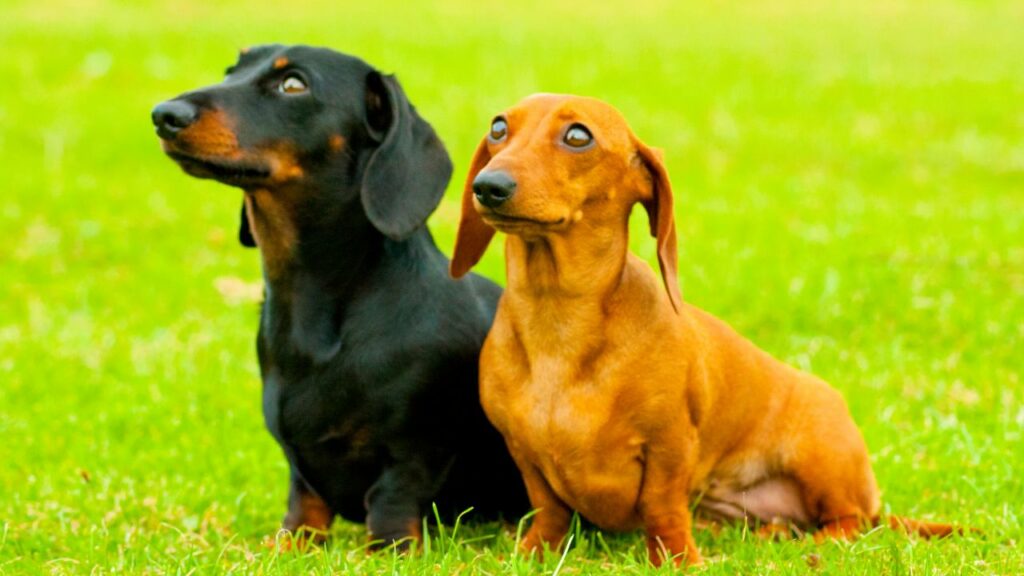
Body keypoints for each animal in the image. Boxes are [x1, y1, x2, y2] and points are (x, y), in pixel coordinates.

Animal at [151, 43, 528, 545]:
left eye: (293, 84)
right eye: (231, 71)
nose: (163, 115)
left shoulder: (414, 451)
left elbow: (391, 500)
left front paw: (386, 546)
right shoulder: (300, 465)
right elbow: (304, 504)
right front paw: (292, 541)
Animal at [448, 94, 958, 565]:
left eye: (578, 136)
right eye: (498, 128)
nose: (488, 186)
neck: (556, 320)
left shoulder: (670, 445)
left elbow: (662, 508)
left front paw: (675, 559)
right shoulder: (524, 453)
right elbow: (549, 508)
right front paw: (534, 551)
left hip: (824, 457)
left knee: (849, 521)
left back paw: (812, 544)